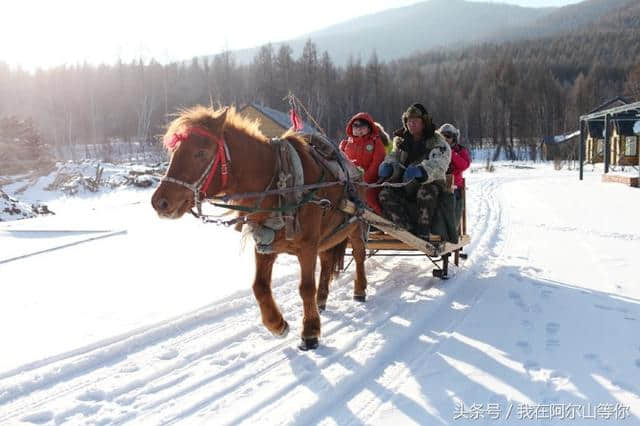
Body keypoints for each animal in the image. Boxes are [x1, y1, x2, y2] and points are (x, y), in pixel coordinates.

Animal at [151, 105, 368, 350]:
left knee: (359, 255)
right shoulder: (265, 244)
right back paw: (321, 300)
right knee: (328, 260)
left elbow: (305, 288)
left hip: (356, 225)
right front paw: (277, 324)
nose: (159, 202)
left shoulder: (307, 246)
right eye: (175, 152)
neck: (279, 184)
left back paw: (359, 290)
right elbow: (260, 287)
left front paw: (310, 332)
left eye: (200, 153)